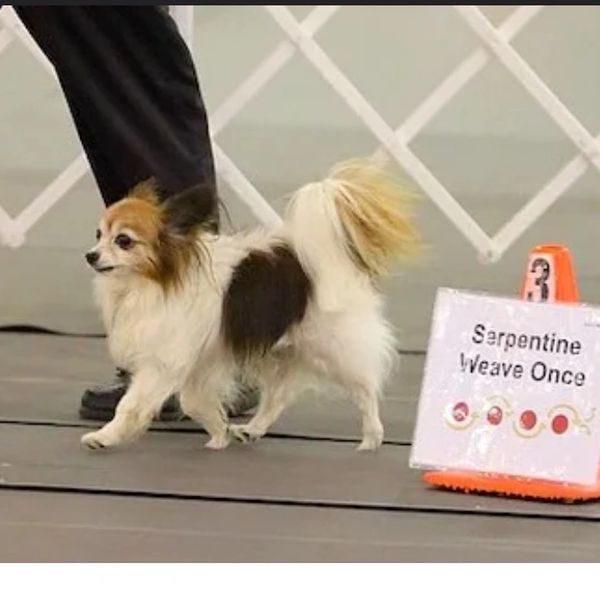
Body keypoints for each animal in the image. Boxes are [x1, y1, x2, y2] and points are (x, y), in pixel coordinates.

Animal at [81, 157, 420, 452]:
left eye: (123, 241)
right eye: (98, 234)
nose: (90, 255)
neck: (152, 282)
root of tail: (326, 257)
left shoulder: (163, 362)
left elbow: (130, 405)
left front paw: (105, 436)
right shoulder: (199, 362)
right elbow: (195, 402)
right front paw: (219, 434)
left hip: (332, 347)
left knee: (365, 389)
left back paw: (371, 438)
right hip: (279, 352)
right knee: (277, 396)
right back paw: (252, 429)